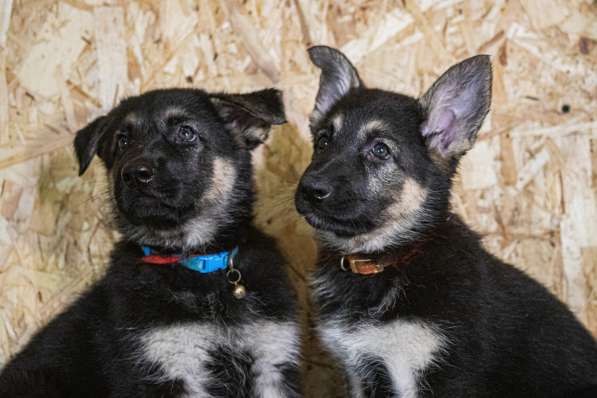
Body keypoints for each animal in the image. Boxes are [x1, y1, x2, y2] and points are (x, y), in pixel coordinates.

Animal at [0, 88, 298, 398]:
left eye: (186, 132)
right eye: (122, 141)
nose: (134, 174)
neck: (195, 262)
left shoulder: (272, 361)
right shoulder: (169, 368)